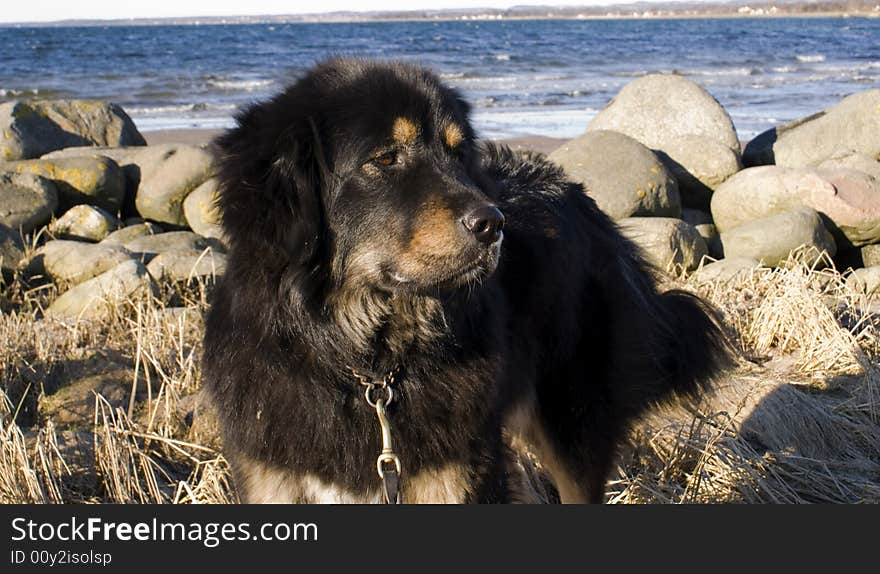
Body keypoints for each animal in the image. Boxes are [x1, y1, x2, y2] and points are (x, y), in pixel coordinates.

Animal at [203, 58, 732, 504]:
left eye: (458, 155)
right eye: (386, 158)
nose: (493, 224)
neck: (367, 367)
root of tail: (587, 204)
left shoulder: (457, 472)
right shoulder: (272, 479)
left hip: (573, 425)